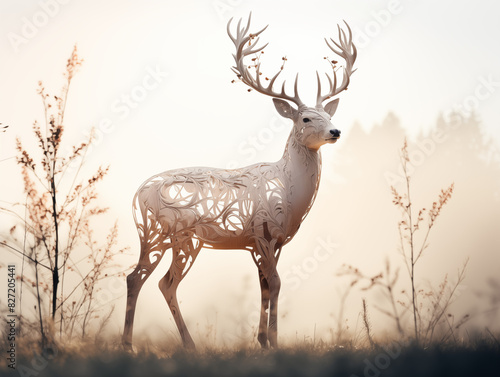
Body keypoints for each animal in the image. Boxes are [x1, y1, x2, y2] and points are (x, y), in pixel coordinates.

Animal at [122, 13, 356, 350]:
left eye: (329, 114)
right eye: (306, 118)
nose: (335, 131)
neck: (291, 196)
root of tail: (136, 195)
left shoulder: (271, 241)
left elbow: (265, 286)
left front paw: (262, 340)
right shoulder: (263, 233)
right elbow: (276, 282)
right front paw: (274, 342)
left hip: (184, 240)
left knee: (165, 283)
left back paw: (189, 345)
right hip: (157, 233)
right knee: (137, 277)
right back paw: (129, 345)